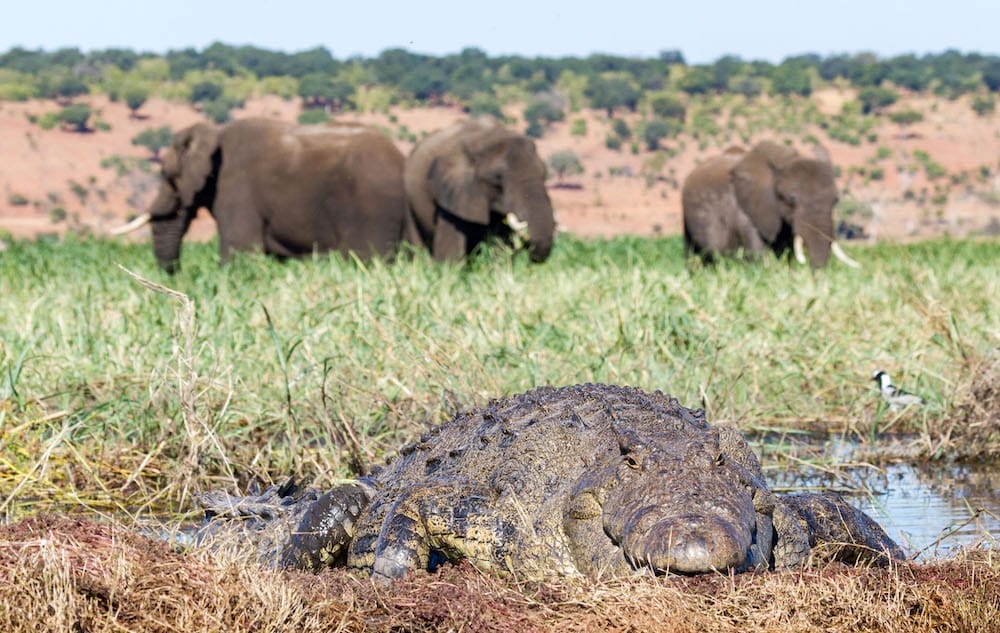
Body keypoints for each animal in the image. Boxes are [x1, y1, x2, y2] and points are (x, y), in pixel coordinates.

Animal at [116, 118, 410, 272]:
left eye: (168, 175)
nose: (175, 275)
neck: (215, 132)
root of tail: (401, 161)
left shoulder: (236, 188)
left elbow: (240, 251)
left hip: (372, 210)